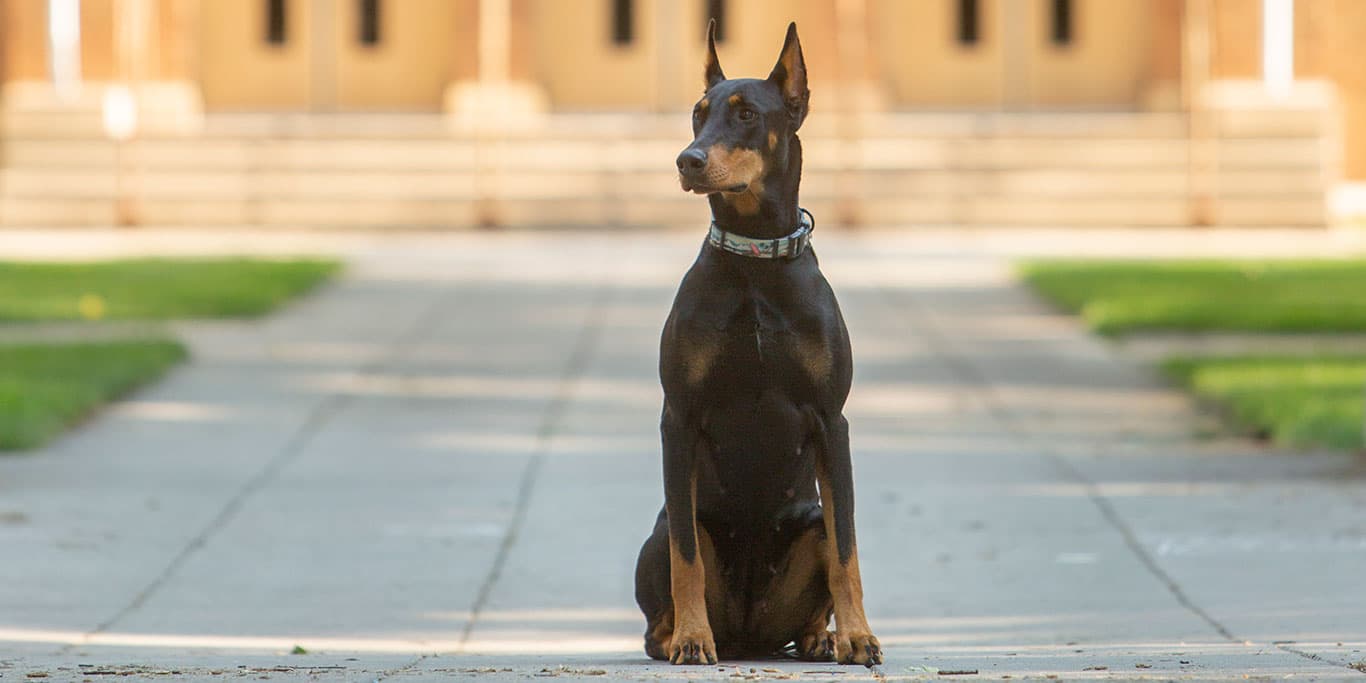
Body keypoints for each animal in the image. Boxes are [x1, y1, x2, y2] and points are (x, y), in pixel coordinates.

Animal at [633, 22, 879, 666]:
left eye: (746, 114)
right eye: (698, 114)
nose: (687, 159)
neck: (756, 261)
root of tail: (748, 635)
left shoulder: (831, 420)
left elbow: (847, 548)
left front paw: (859, 637)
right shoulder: (679, 416)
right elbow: (687, 560)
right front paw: (692, 639)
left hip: (807, 520)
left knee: (823, 547)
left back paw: (822, 637)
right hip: (663, 524)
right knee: (673, 562)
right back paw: (683, 634)